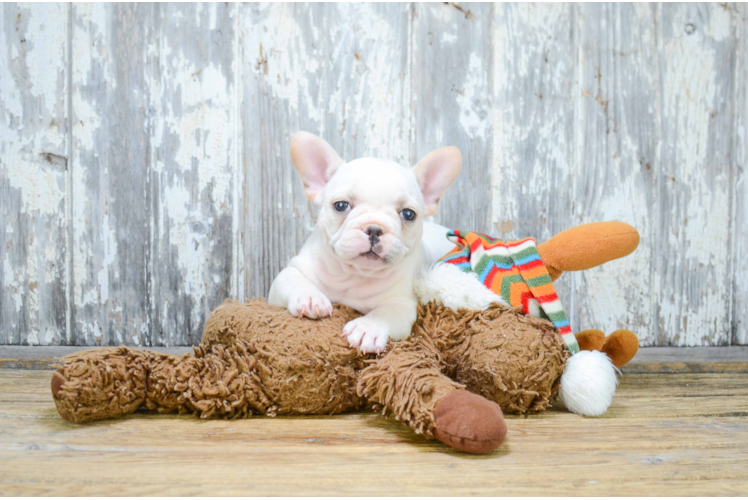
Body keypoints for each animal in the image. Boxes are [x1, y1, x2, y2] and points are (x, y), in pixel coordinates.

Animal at [268, 131, 462, 354]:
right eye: (341, 205)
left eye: (408, 214)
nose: (375, 228)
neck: (355, 274)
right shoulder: (290, 272)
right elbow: (295, 281)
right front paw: (310, 297)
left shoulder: (403, 304)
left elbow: (385, 313)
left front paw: (367, 328)